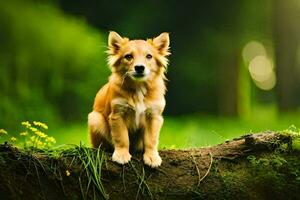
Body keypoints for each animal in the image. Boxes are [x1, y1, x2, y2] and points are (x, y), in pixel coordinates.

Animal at [88, 31, 170, 167]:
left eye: (149, 56)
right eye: (128, 56)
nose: (139, 67)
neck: (138, 88)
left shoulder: (154, 116)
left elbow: (151, 139)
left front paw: (152, 157)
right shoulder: (117, 114)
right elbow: (122, 138)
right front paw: (121, 154)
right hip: (95, 118)